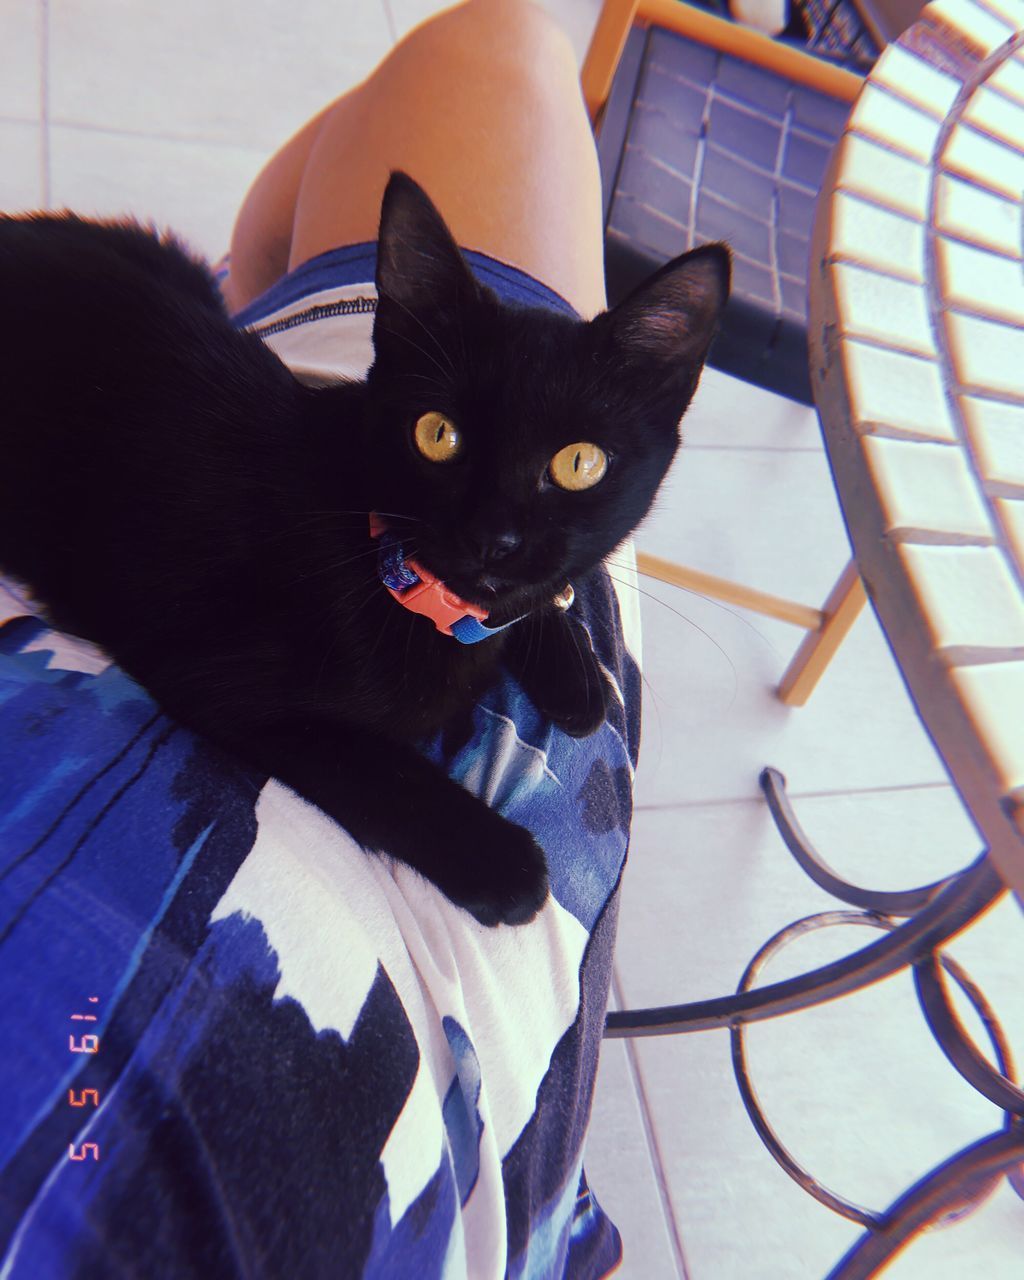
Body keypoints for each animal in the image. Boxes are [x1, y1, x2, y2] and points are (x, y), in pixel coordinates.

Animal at [0, 175, 732, 926]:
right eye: (437, 434)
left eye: (579, 463)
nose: (491, 538)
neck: (396, 576)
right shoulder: (219, 682)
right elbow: (380, 769)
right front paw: (503, 862)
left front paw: (576, 676)